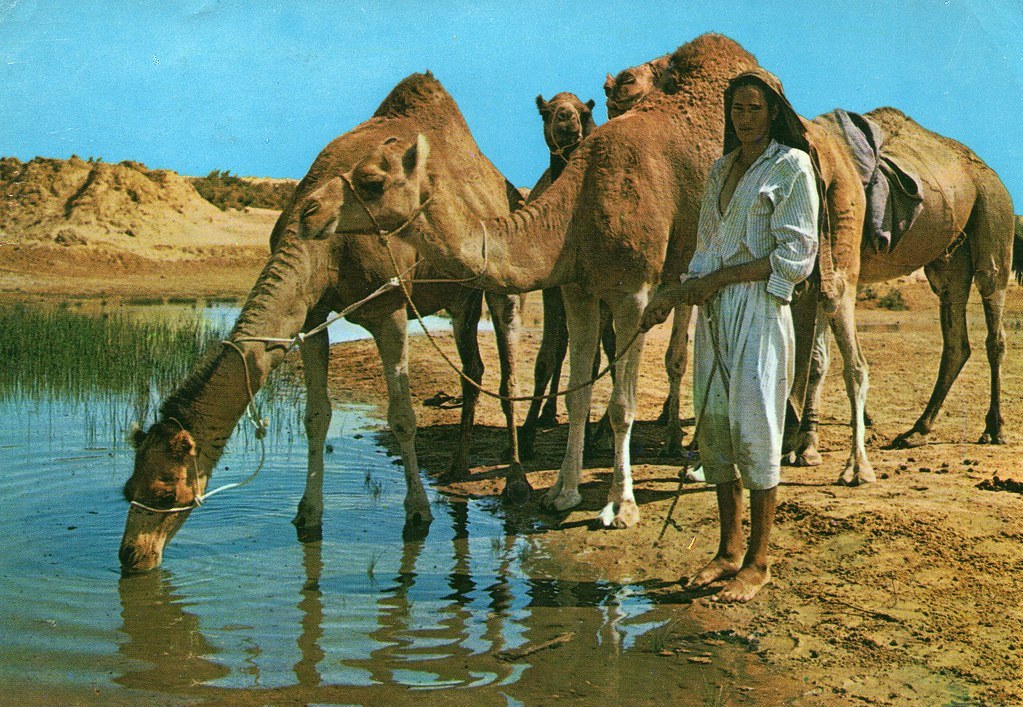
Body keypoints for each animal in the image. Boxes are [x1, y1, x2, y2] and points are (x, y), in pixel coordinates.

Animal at [119, 72, 527, 572]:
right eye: (128, 490)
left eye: (165, 491)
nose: (131, 555)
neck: (324, 246)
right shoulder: (312, 313)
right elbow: (316, 416)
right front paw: (307, 516)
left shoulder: (389, 308)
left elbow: (403, 417)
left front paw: (417, 514)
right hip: (461, 298)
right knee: (473, 368)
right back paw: (456, 467)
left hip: (499, 280)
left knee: (507, 375)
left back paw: (515, 484)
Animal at [308, 36, 769, 527]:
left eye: (371, 180)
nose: (310, 208)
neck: (581, 201)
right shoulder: (579, 288)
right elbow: (579, 394)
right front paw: (562, 493)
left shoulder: (634, 290)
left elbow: (622, 405)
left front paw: (620, 505)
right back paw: (702, 459)